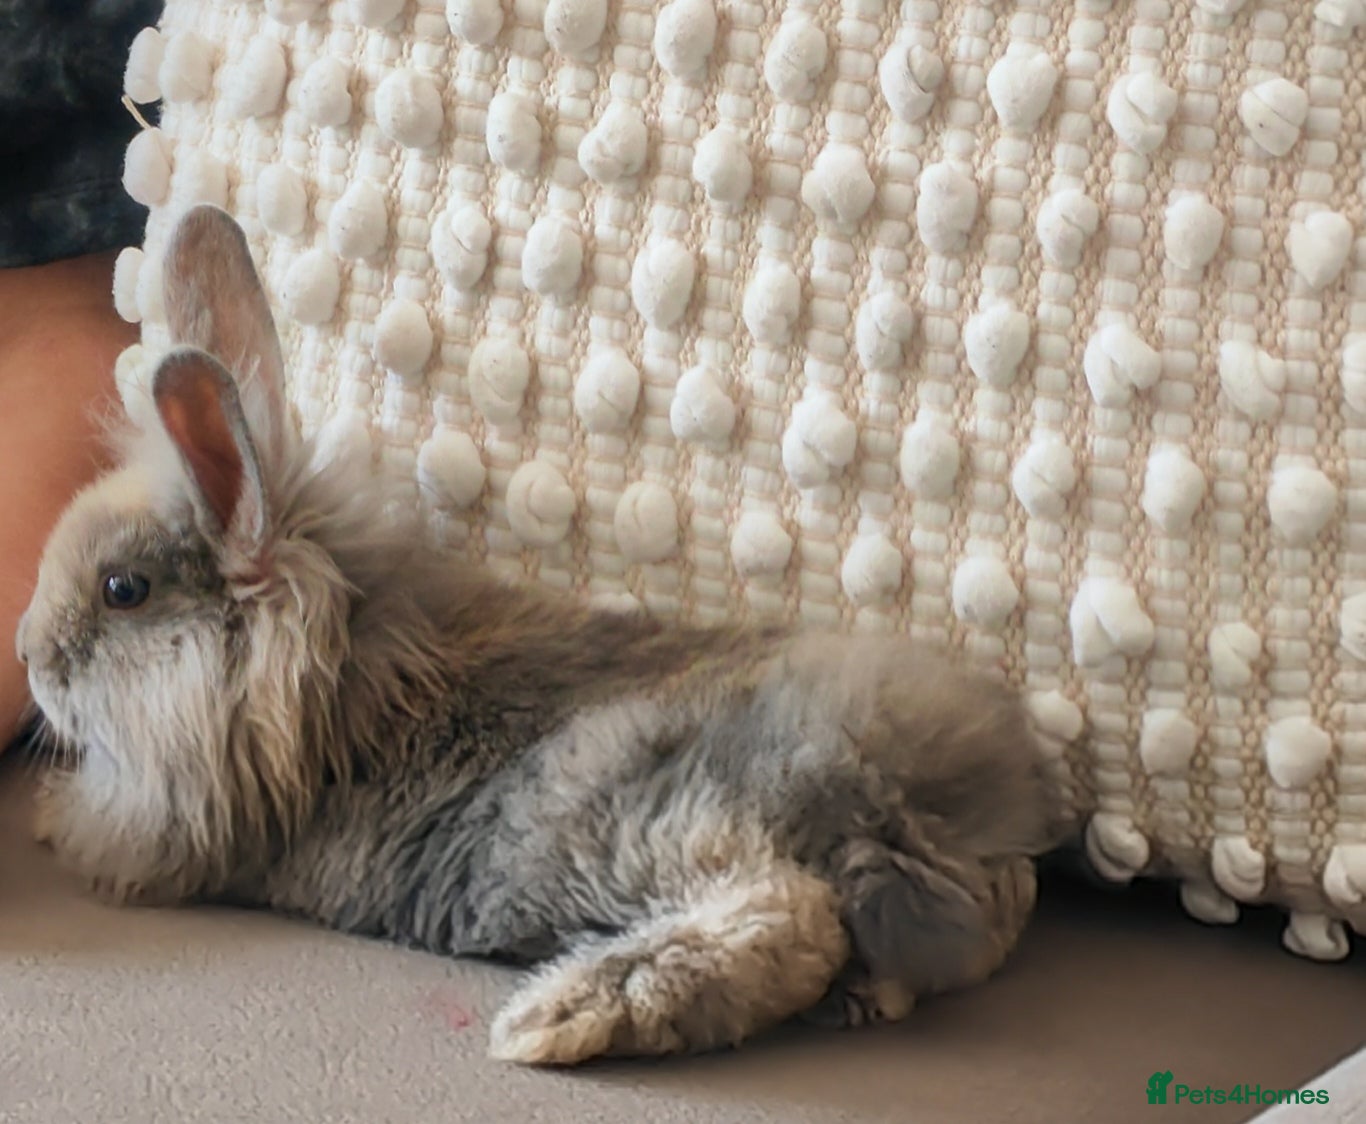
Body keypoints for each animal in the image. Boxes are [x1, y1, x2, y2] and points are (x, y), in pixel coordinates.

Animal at [19, 204, 1063, 1067]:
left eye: (122, 590)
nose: (30, 656)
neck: (331, 676)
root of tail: (931, 797)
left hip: (645, 816)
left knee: (785, 916)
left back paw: (556, 1020)